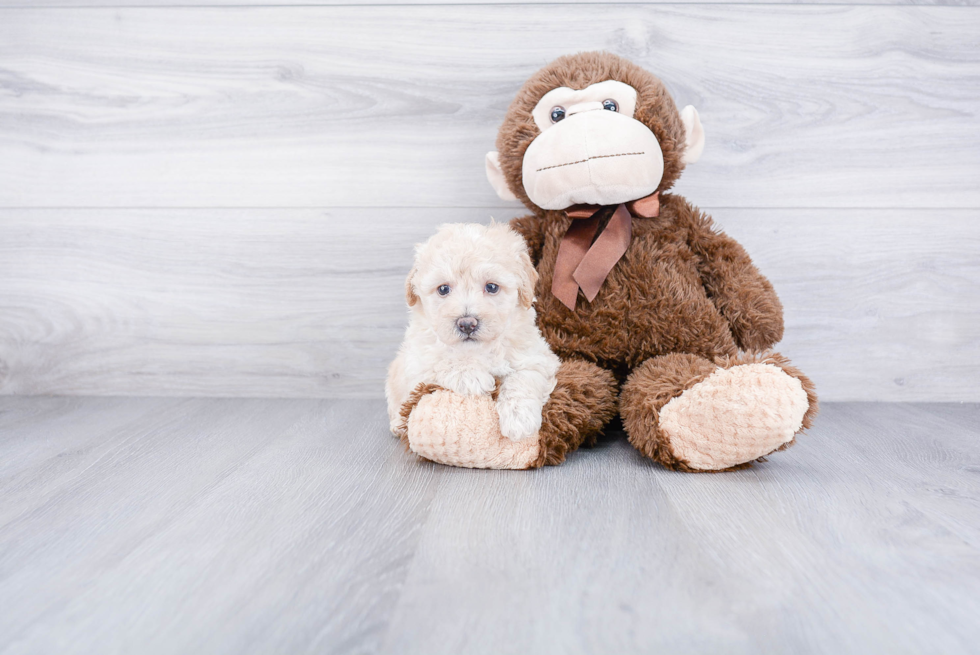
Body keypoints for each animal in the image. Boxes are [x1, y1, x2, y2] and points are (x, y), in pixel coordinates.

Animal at [384, 223, 560, 444]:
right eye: (443, 289)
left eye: (491, 287)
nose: (467, 324)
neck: (479, 350)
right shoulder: (417, 365)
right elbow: (440, 363)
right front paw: (471, 375)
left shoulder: (537, 357)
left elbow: (524, 378)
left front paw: (519, 417)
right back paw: (397, 425)